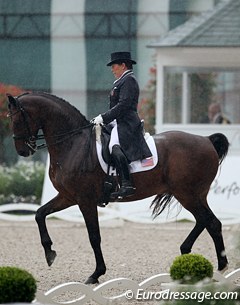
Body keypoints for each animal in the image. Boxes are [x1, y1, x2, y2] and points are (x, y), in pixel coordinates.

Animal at [6, 92, 230, 282]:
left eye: (16, 120)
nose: (23, 151)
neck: (73, 144)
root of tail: (206, 140)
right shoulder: (68, 197)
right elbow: (39, 214)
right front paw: (49, 253)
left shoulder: (85, 200)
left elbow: (94, 236)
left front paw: (96, 273)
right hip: (194, 194)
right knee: (207, 221)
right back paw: (195, 255)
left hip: (187, 194)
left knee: (210, 222)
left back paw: (219, 267)